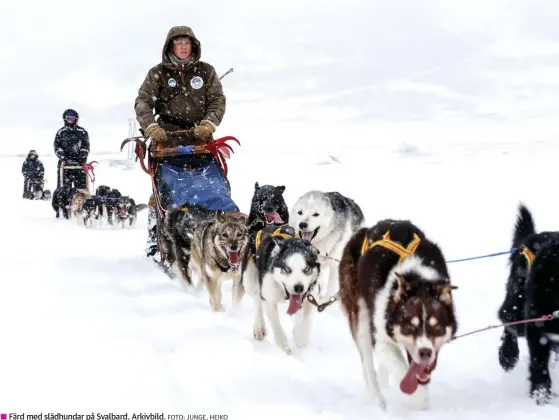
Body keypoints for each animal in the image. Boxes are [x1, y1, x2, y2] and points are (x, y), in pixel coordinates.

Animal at [243, 226, 322, 354]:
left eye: (306, 269)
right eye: (287, 269)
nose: (298, 287)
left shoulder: (312, 296)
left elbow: (307, 320)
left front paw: (300, 336)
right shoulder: (269, 298)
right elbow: (276, 326)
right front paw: (283, 347)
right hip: (248, 279)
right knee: (256, 297)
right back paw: (259, 326)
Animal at [340, 220, 458, 410]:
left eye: (436, 327)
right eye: (410, 326)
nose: (425, 353)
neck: (419, 279)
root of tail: (365, 231)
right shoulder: (380, 339)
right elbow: (400, 367)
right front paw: (417, 399)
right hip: (361, 320)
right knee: (368, 366)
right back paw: (378, 400)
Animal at [498, 203, 559, 404]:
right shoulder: (535, 327)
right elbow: (539, 366)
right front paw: (541, 396)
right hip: (516, 306)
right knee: (507, 321)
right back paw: (507, 355)